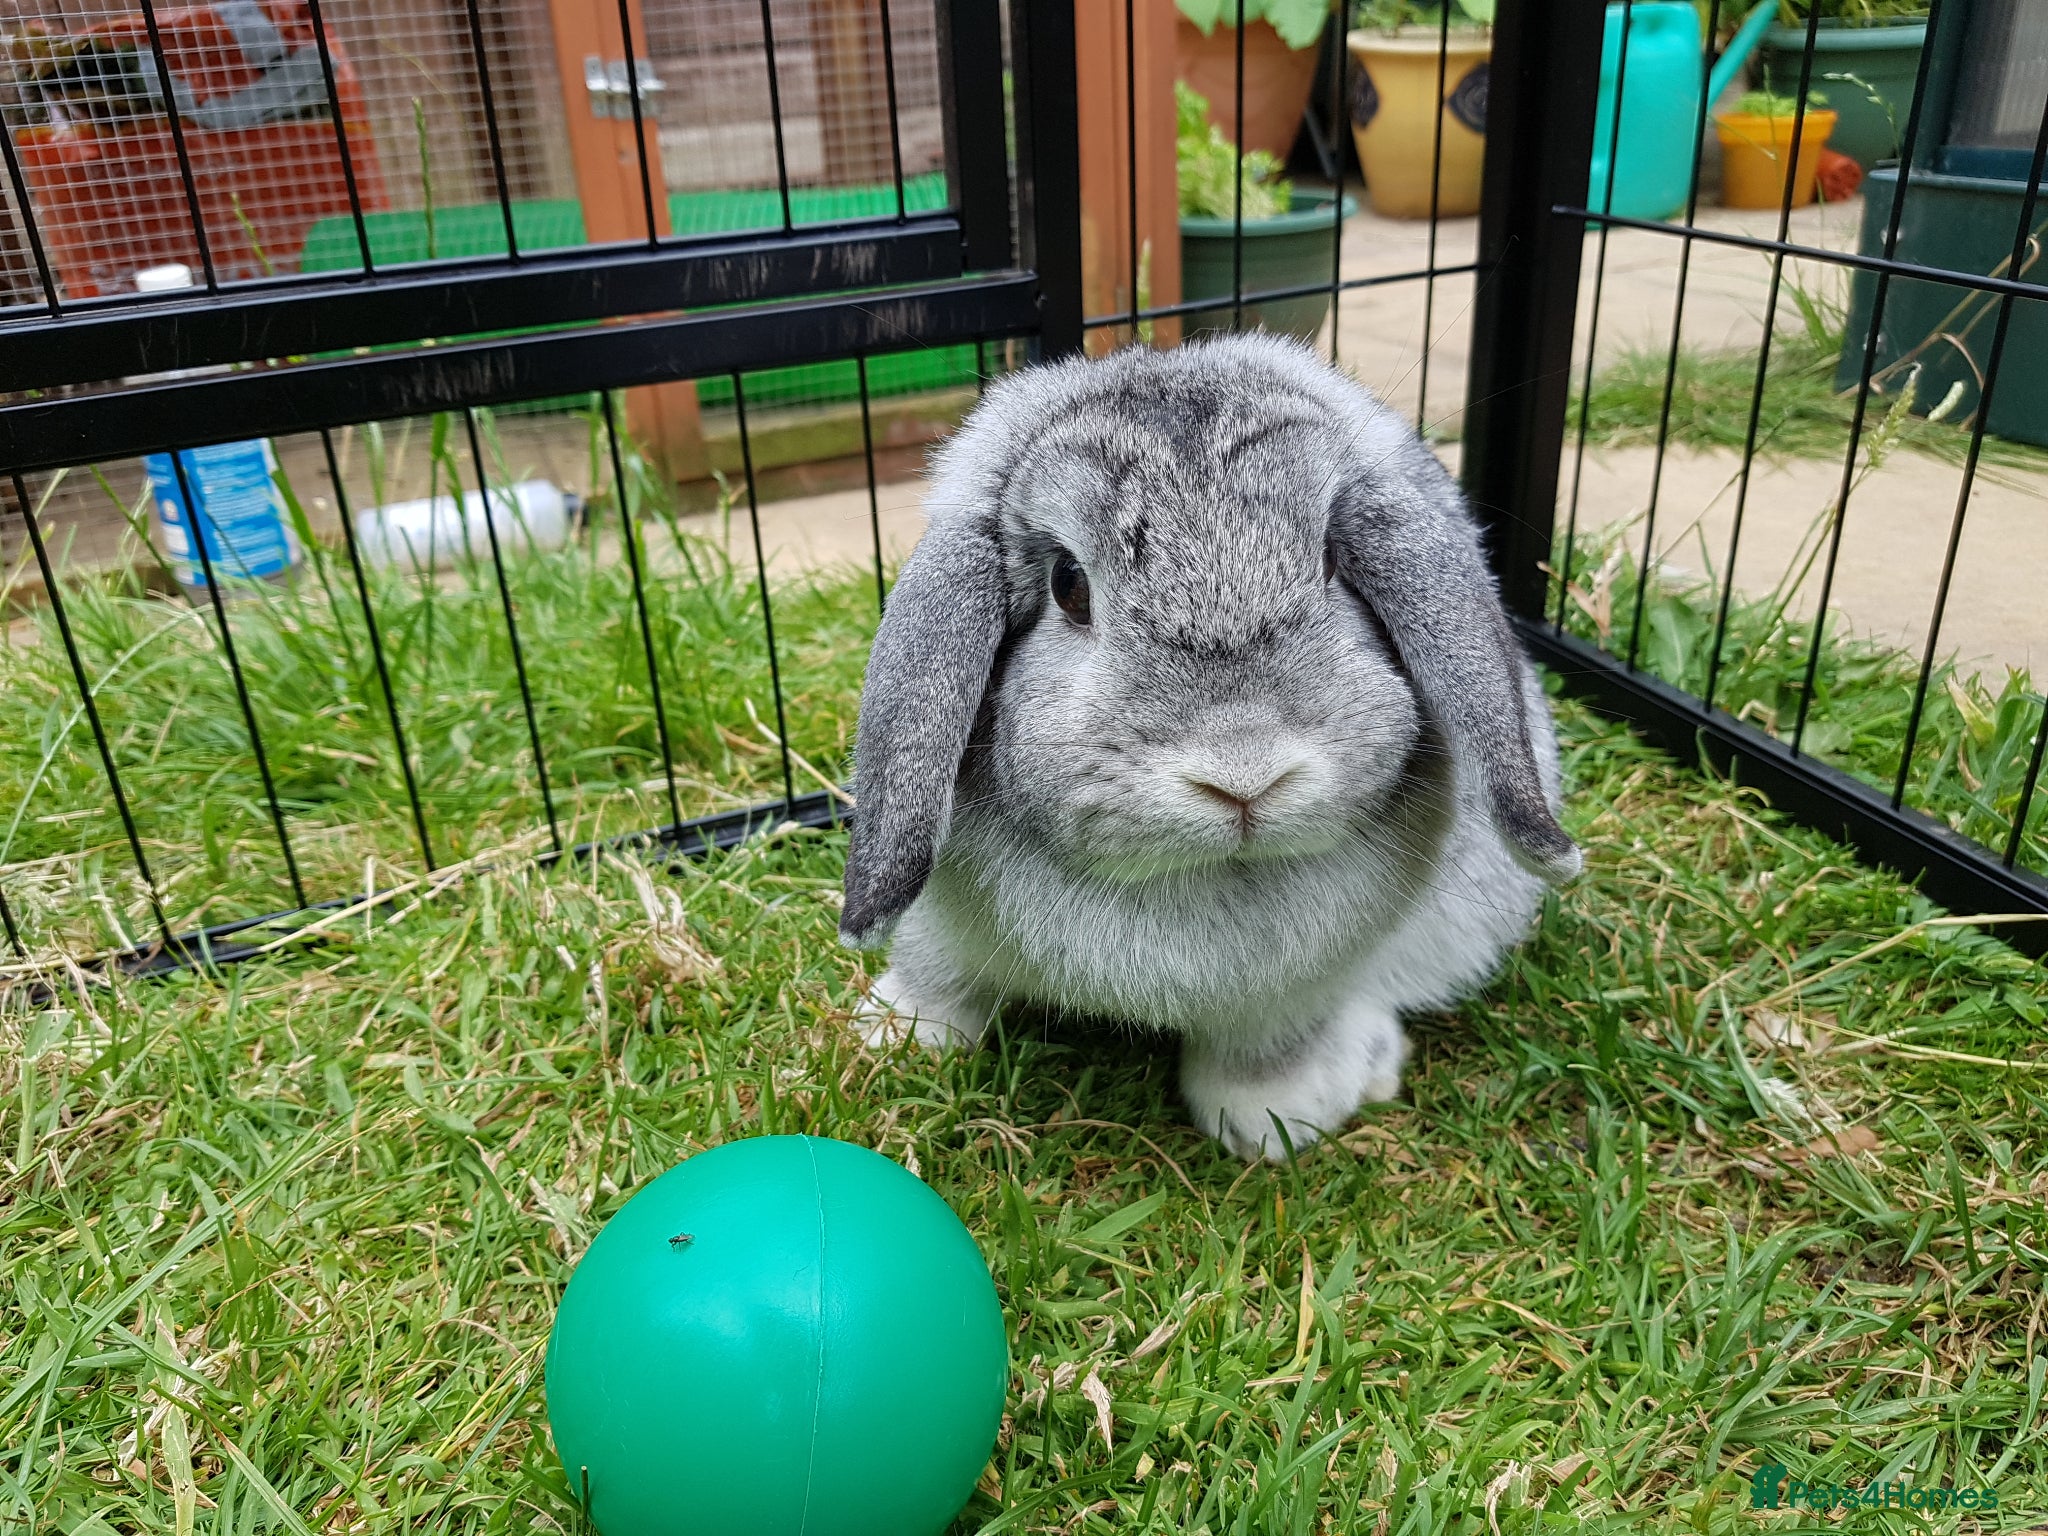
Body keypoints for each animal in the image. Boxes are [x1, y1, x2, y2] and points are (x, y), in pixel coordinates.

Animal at [837, 333, 1578, 1161]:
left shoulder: (1293, 995)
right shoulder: (940, 932)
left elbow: (1264, 1054)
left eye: (1332, 562)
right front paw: (897, 1037)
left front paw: (1273, 1123)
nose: (1245, 776)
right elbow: (939, 980)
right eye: (1068, 584)